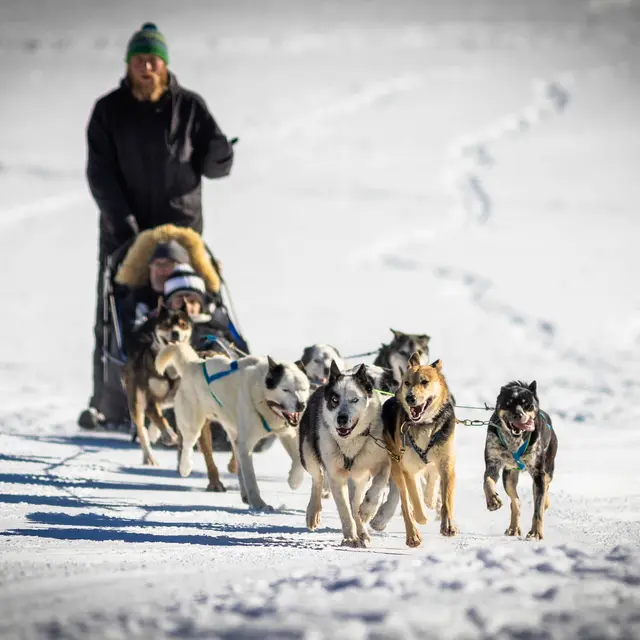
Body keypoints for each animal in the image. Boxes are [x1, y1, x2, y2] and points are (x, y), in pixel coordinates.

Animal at [380, 352, 456, 548]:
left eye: (424, 382)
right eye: (407, 382)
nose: (410, 398)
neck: (424, 425)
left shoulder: (446, 463)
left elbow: (446, 499)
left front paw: (448, 525)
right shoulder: (409, 470)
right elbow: (414, 499)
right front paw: (421, 517)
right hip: (397, 467)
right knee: (406, 503)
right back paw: (412, 534)